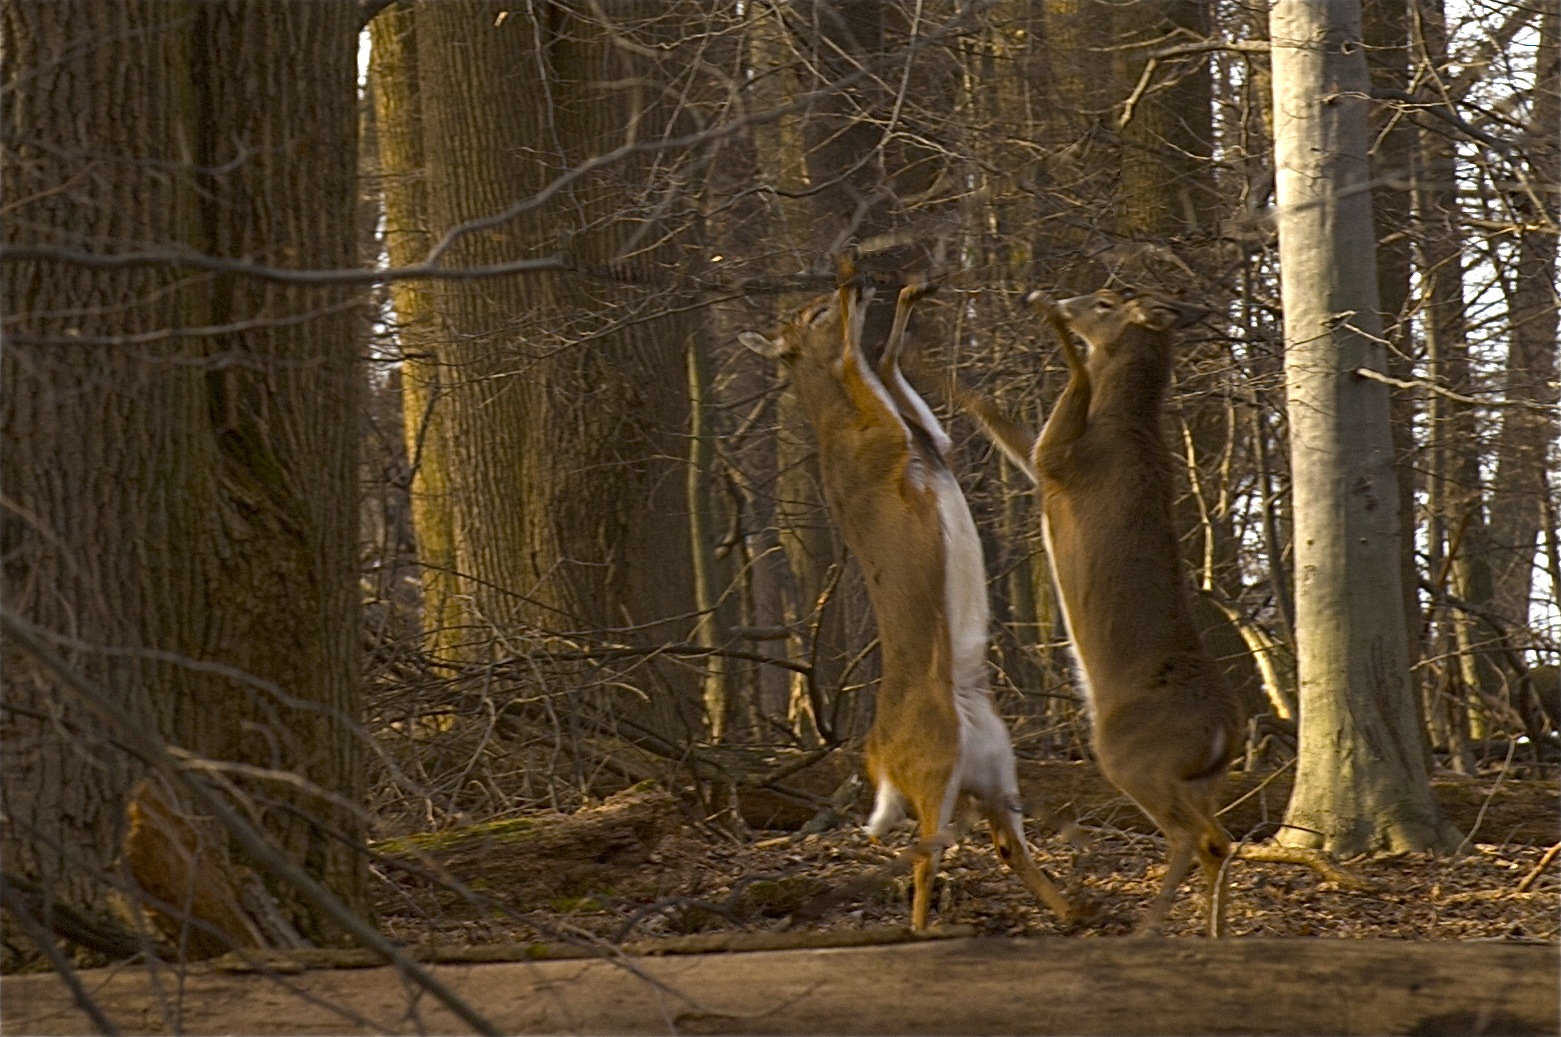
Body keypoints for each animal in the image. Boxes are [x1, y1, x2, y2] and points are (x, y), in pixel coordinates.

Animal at [738, 261, 1079, 931]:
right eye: (813, 313)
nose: (851, 281)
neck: (841, 434)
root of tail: (879, 757)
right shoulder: (894, 446)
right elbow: (862, 362)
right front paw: (885, 309)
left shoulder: (932, 441)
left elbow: (891, 374)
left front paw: (910, 294)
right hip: (936, 768)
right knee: (924, 852)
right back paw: (928, 928)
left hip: (995, 767)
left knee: (1003, 845)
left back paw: (1078, 912)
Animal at [957, 287, 1248, 936]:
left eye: (1109, 299)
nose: (1063, 297)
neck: (1124, 425)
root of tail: (1225, 729)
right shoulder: (1043, 461)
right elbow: (999, 418)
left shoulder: (1059, 460)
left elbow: (1048, 404)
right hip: (1204, 779)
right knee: (1221, 839)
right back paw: (1210, 932)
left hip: (1130, 758)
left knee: (1192, 837)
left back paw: (1146, 928)